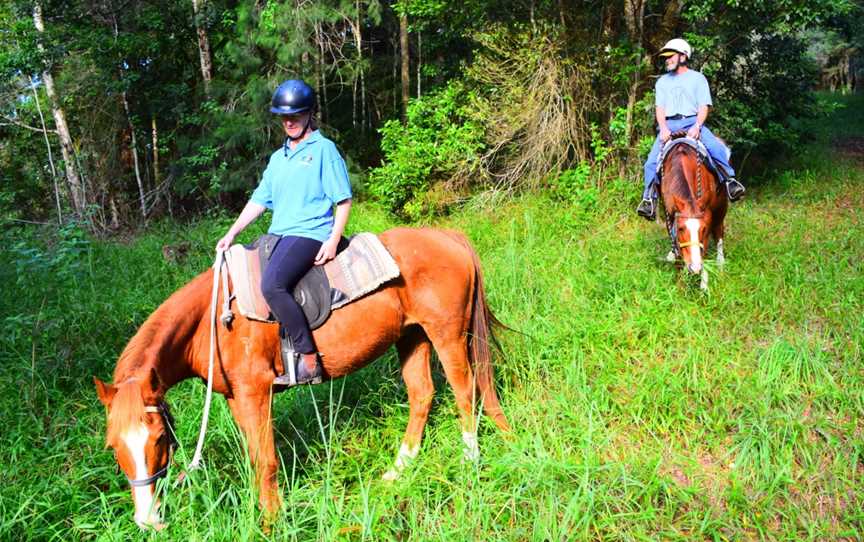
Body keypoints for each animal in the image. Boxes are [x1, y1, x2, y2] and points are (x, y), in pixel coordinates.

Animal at [93, 228, 512, 532]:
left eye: (160, 439)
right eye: (113, 446)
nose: (148, 520)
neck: (211, 321)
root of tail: (448, 236)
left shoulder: (256, 392)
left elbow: (266, 461)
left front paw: (270, 523)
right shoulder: (237, 399)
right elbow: (254, 459)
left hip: (446, 333)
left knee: (464, 390)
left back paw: (470, 461)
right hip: (412, 337)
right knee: (422, 395)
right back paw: (398, 470)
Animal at [660, 136, 728, 292]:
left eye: (703, 229)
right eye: (681, 229)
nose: (695, 267)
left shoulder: (708, 218)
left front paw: (703, 284)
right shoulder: (669, 214)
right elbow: (675, 245)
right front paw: (681, 284)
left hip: (721, 209)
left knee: (719, 233)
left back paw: (720, 262)